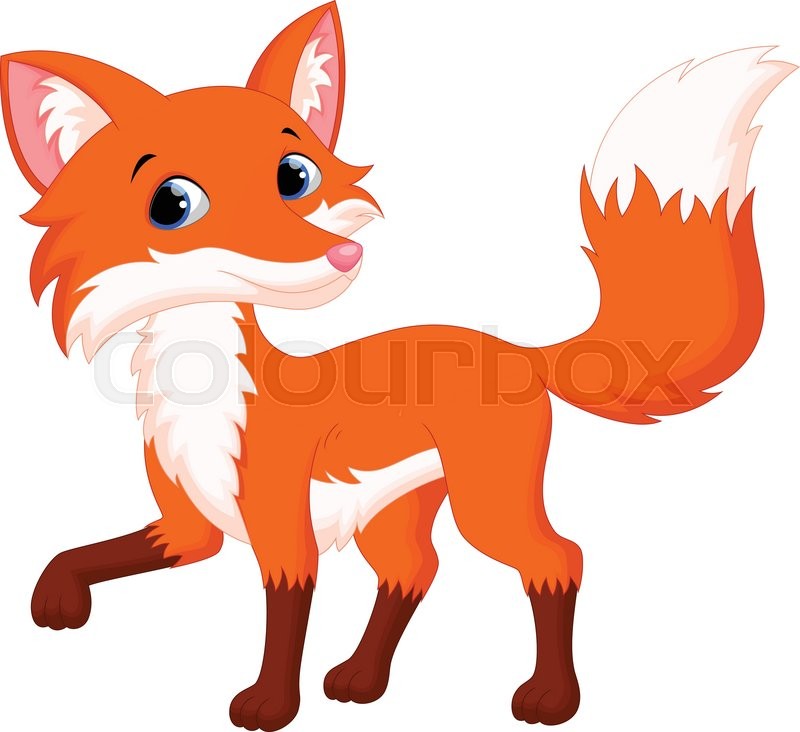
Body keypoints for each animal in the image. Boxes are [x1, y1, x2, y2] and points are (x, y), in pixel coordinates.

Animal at [0, 2, 793, 730]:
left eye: (296, 175)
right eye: (172, 202)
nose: (340, 254)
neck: (205, 398)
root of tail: (514, 350)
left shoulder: (283, 531)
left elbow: (284, 622)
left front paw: (269, 705)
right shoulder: (185, 527)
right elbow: (84, 552)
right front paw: (56, 600)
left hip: (486, 504)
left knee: (557, 560)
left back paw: (550, 698)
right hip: (394, 509)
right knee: (415, 572)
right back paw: (362, 679)